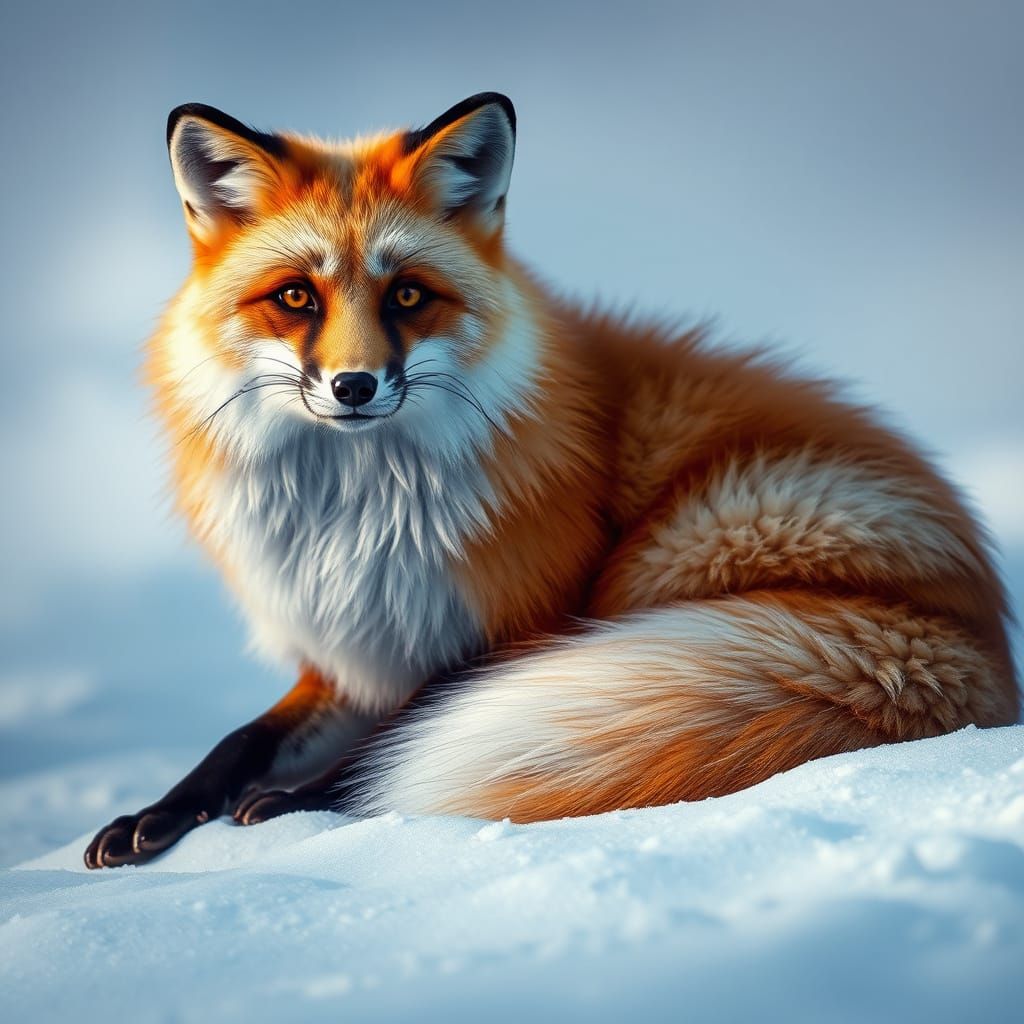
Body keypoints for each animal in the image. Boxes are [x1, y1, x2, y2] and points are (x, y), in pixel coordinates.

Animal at [85, 93, 1019, 868]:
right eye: (295, 298)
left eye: (408, 296)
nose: (354, 386)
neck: (357, 525)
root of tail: (988, 647)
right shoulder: (352, 654)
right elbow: (237, 742)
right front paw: (152, 817)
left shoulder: (517, 626)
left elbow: (391, 741)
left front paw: (299, 803)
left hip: (678, 546)